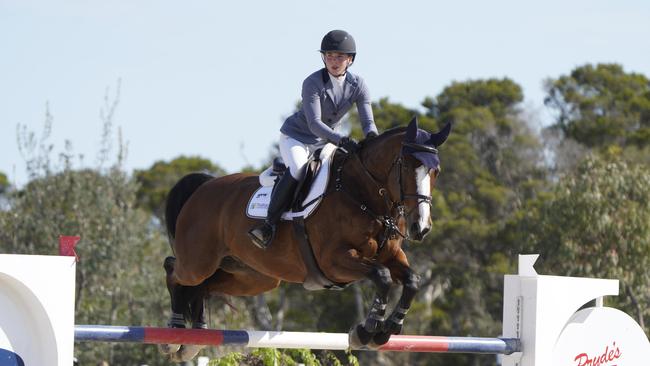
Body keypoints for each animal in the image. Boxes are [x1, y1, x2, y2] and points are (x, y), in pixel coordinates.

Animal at [159, 116, 448, 360]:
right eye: (407, 166)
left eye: (436, 171)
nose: (421, 227)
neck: (362, 194)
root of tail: (203, 187)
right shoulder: (334, 261)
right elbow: (382, 276)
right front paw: (367, 330)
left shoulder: (391, 255)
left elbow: (412, 280)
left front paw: (387, 329)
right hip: (198, 263)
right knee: (174, 270)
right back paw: (174, 334)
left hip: (252, 277)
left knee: (202, 287)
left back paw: (193, 339)